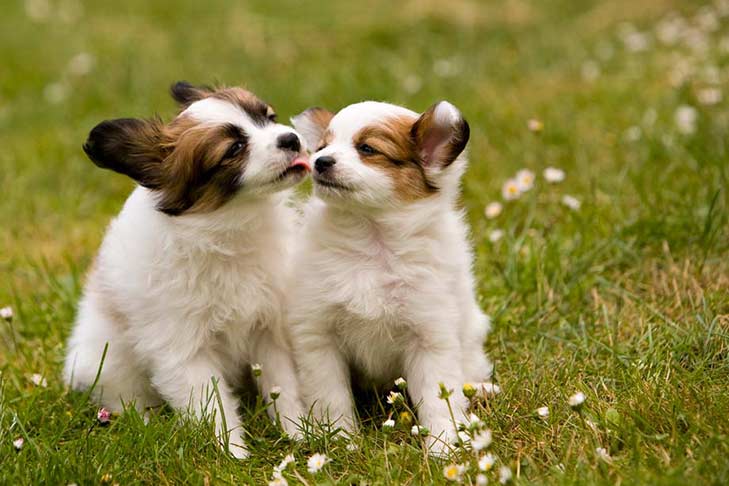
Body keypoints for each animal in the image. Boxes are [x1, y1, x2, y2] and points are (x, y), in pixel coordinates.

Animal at [63, 81, 310, 458]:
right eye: (234, 148)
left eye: (269, 117)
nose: (291, 139)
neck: (228, 228)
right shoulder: (182, 350)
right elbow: (213, 406)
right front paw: (233, 455)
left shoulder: (269, 327)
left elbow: (284, 386)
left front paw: (299, 435)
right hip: (107, 363)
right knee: (124, 398)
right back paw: (144, 423)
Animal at [288, 100, 490, 454]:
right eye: (323, 147)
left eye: (368, 149)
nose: (320, 162)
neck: (372, 243)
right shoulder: (318, 335)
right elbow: (331, 395)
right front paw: (340, 439)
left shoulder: (430, 335)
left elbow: (439, 397)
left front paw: (444, 445)